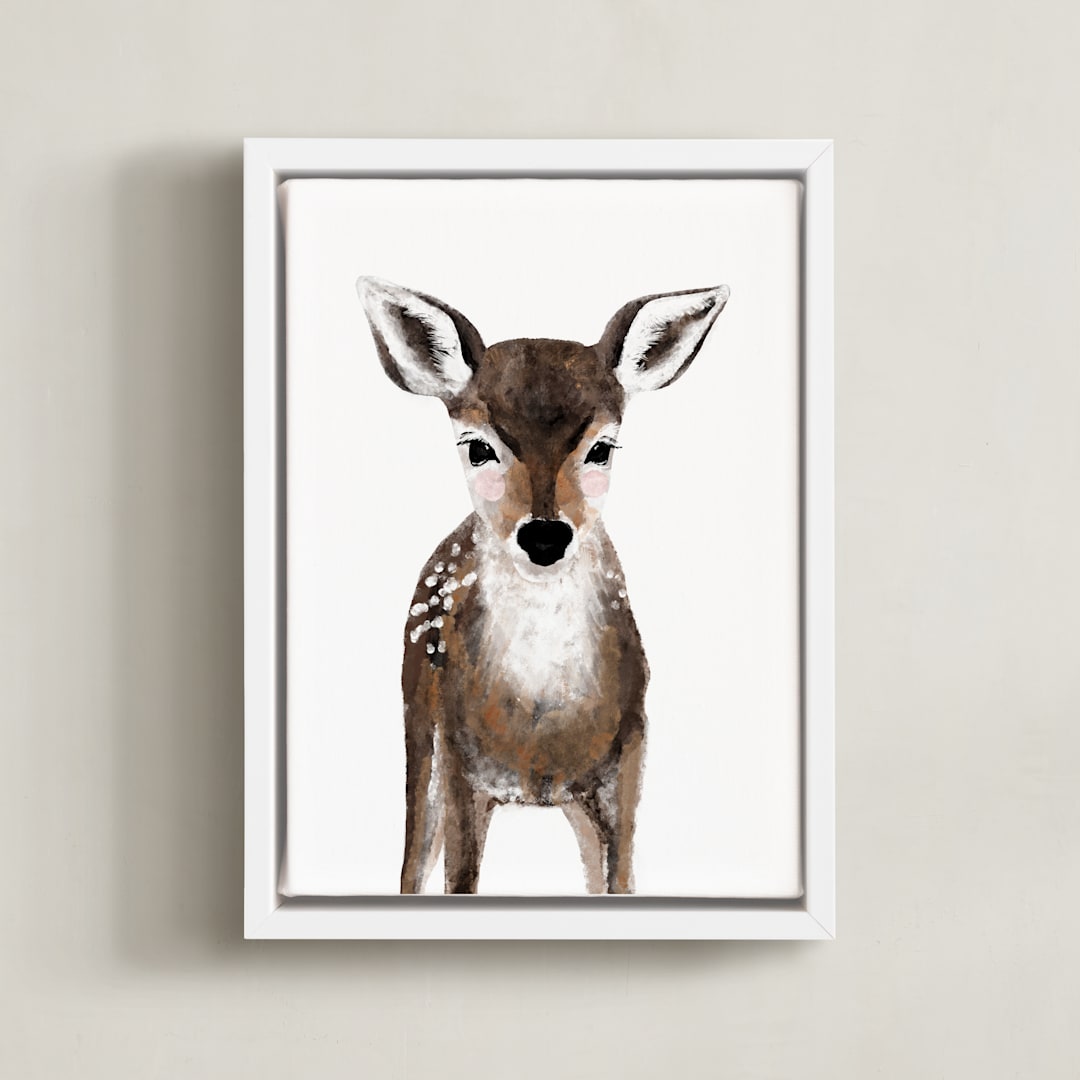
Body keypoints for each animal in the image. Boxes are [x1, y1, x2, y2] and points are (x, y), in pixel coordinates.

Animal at [356, 277, 730, 894]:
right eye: (476, 446)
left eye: (602, 448)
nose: (546, 536)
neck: (541, 722)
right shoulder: (459, 759)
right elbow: (459, 879)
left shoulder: (629, 753)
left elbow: (620, 880)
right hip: (417, 721)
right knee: (412, 860)